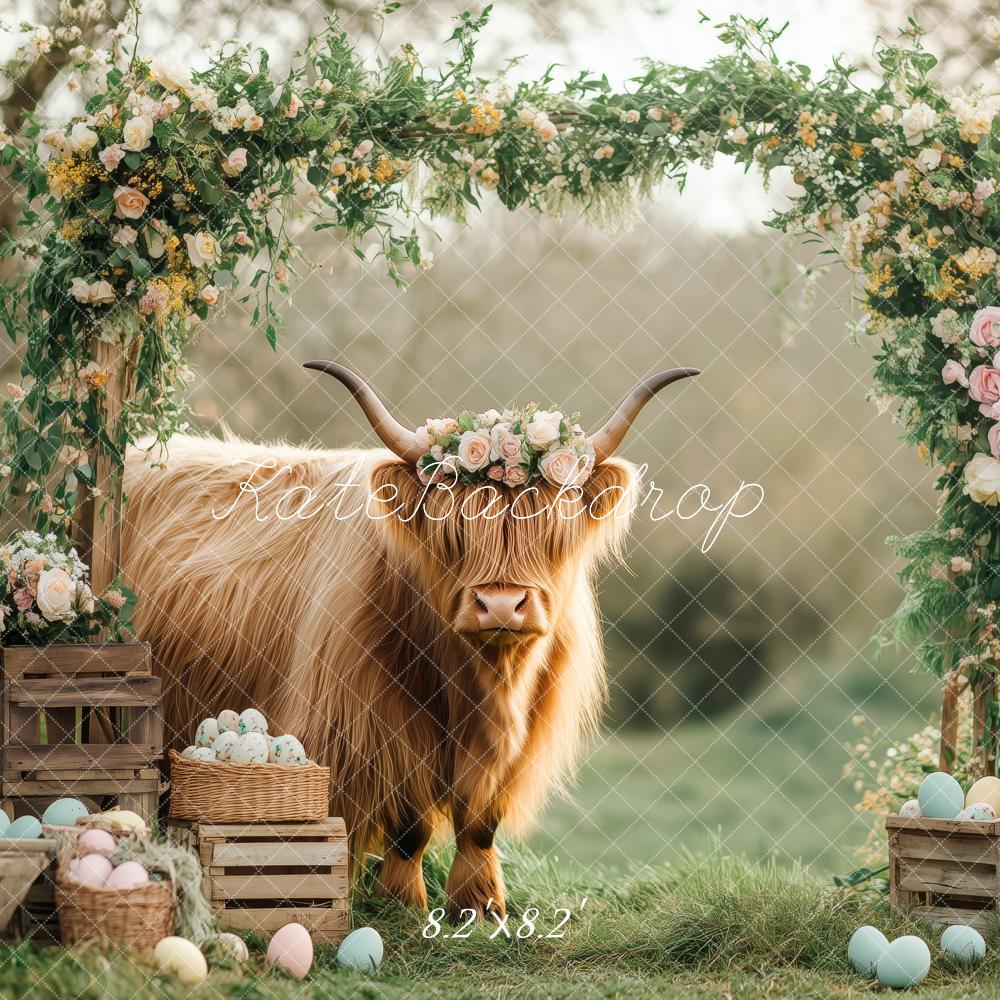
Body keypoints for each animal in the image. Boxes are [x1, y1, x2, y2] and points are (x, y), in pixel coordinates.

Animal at [121, 361, 697, 920]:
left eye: (550, 522)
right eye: (454, 527)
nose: (502, 605)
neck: (482, 688)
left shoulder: (519, 738)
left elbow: (480, 822)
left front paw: (481, 905)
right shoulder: (378, 723)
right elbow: (409, 821)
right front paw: (403, 903)